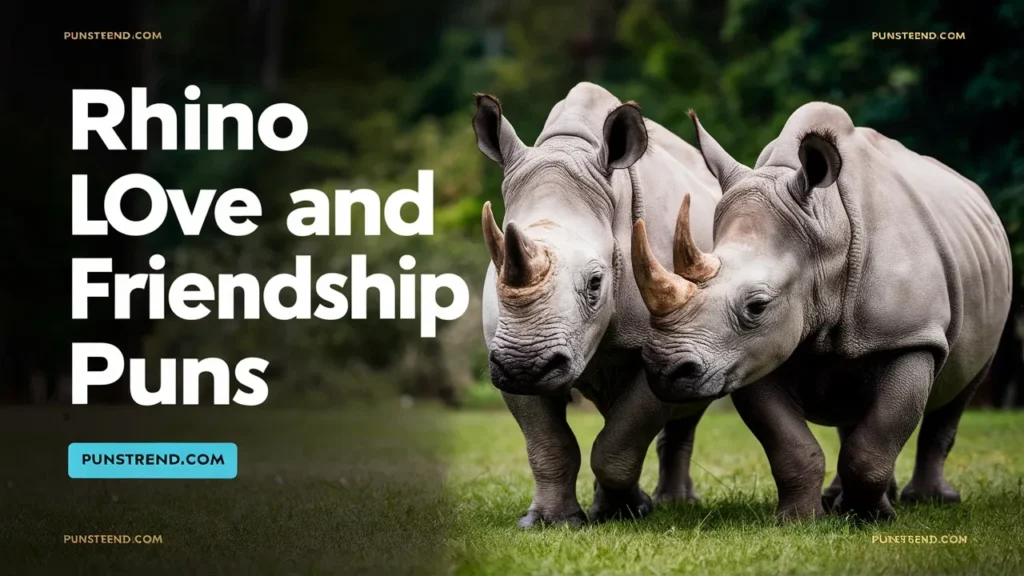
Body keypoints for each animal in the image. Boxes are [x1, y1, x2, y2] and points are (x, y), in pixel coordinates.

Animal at [474, 83, 721, 527]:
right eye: (497, 270)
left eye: (595, 283)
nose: (525, 366)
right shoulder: (502, 347)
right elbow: (548, 443)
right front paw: (549, 522)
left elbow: (620, 442)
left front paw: (625, 512)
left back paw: (675, 503)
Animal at [631, 102, 1012, 521]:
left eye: (756, 306)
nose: (665, 370)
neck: (828, 229)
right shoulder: (751, 353)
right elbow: (791, 447)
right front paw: (798, 520)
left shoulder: (909, 338)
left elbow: (876, 442)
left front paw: (870, 519)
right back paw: (840, 500)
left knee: (959, 394)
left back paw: (928, 500)